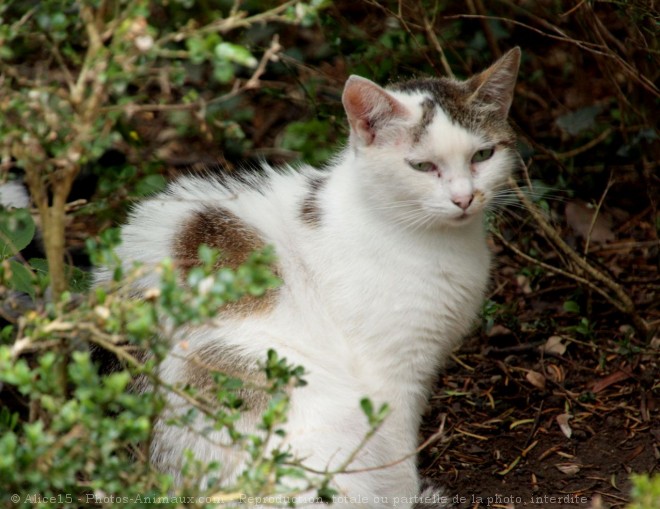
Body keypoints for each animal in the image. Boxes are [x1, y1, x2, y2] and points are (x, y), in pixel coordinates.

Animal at [98, 46, 520, 504]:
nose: (464, 198)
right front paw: (405, 497)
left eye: (482, 156)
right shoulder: (387, 374)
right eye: (423, 166)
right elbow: (396, 455)